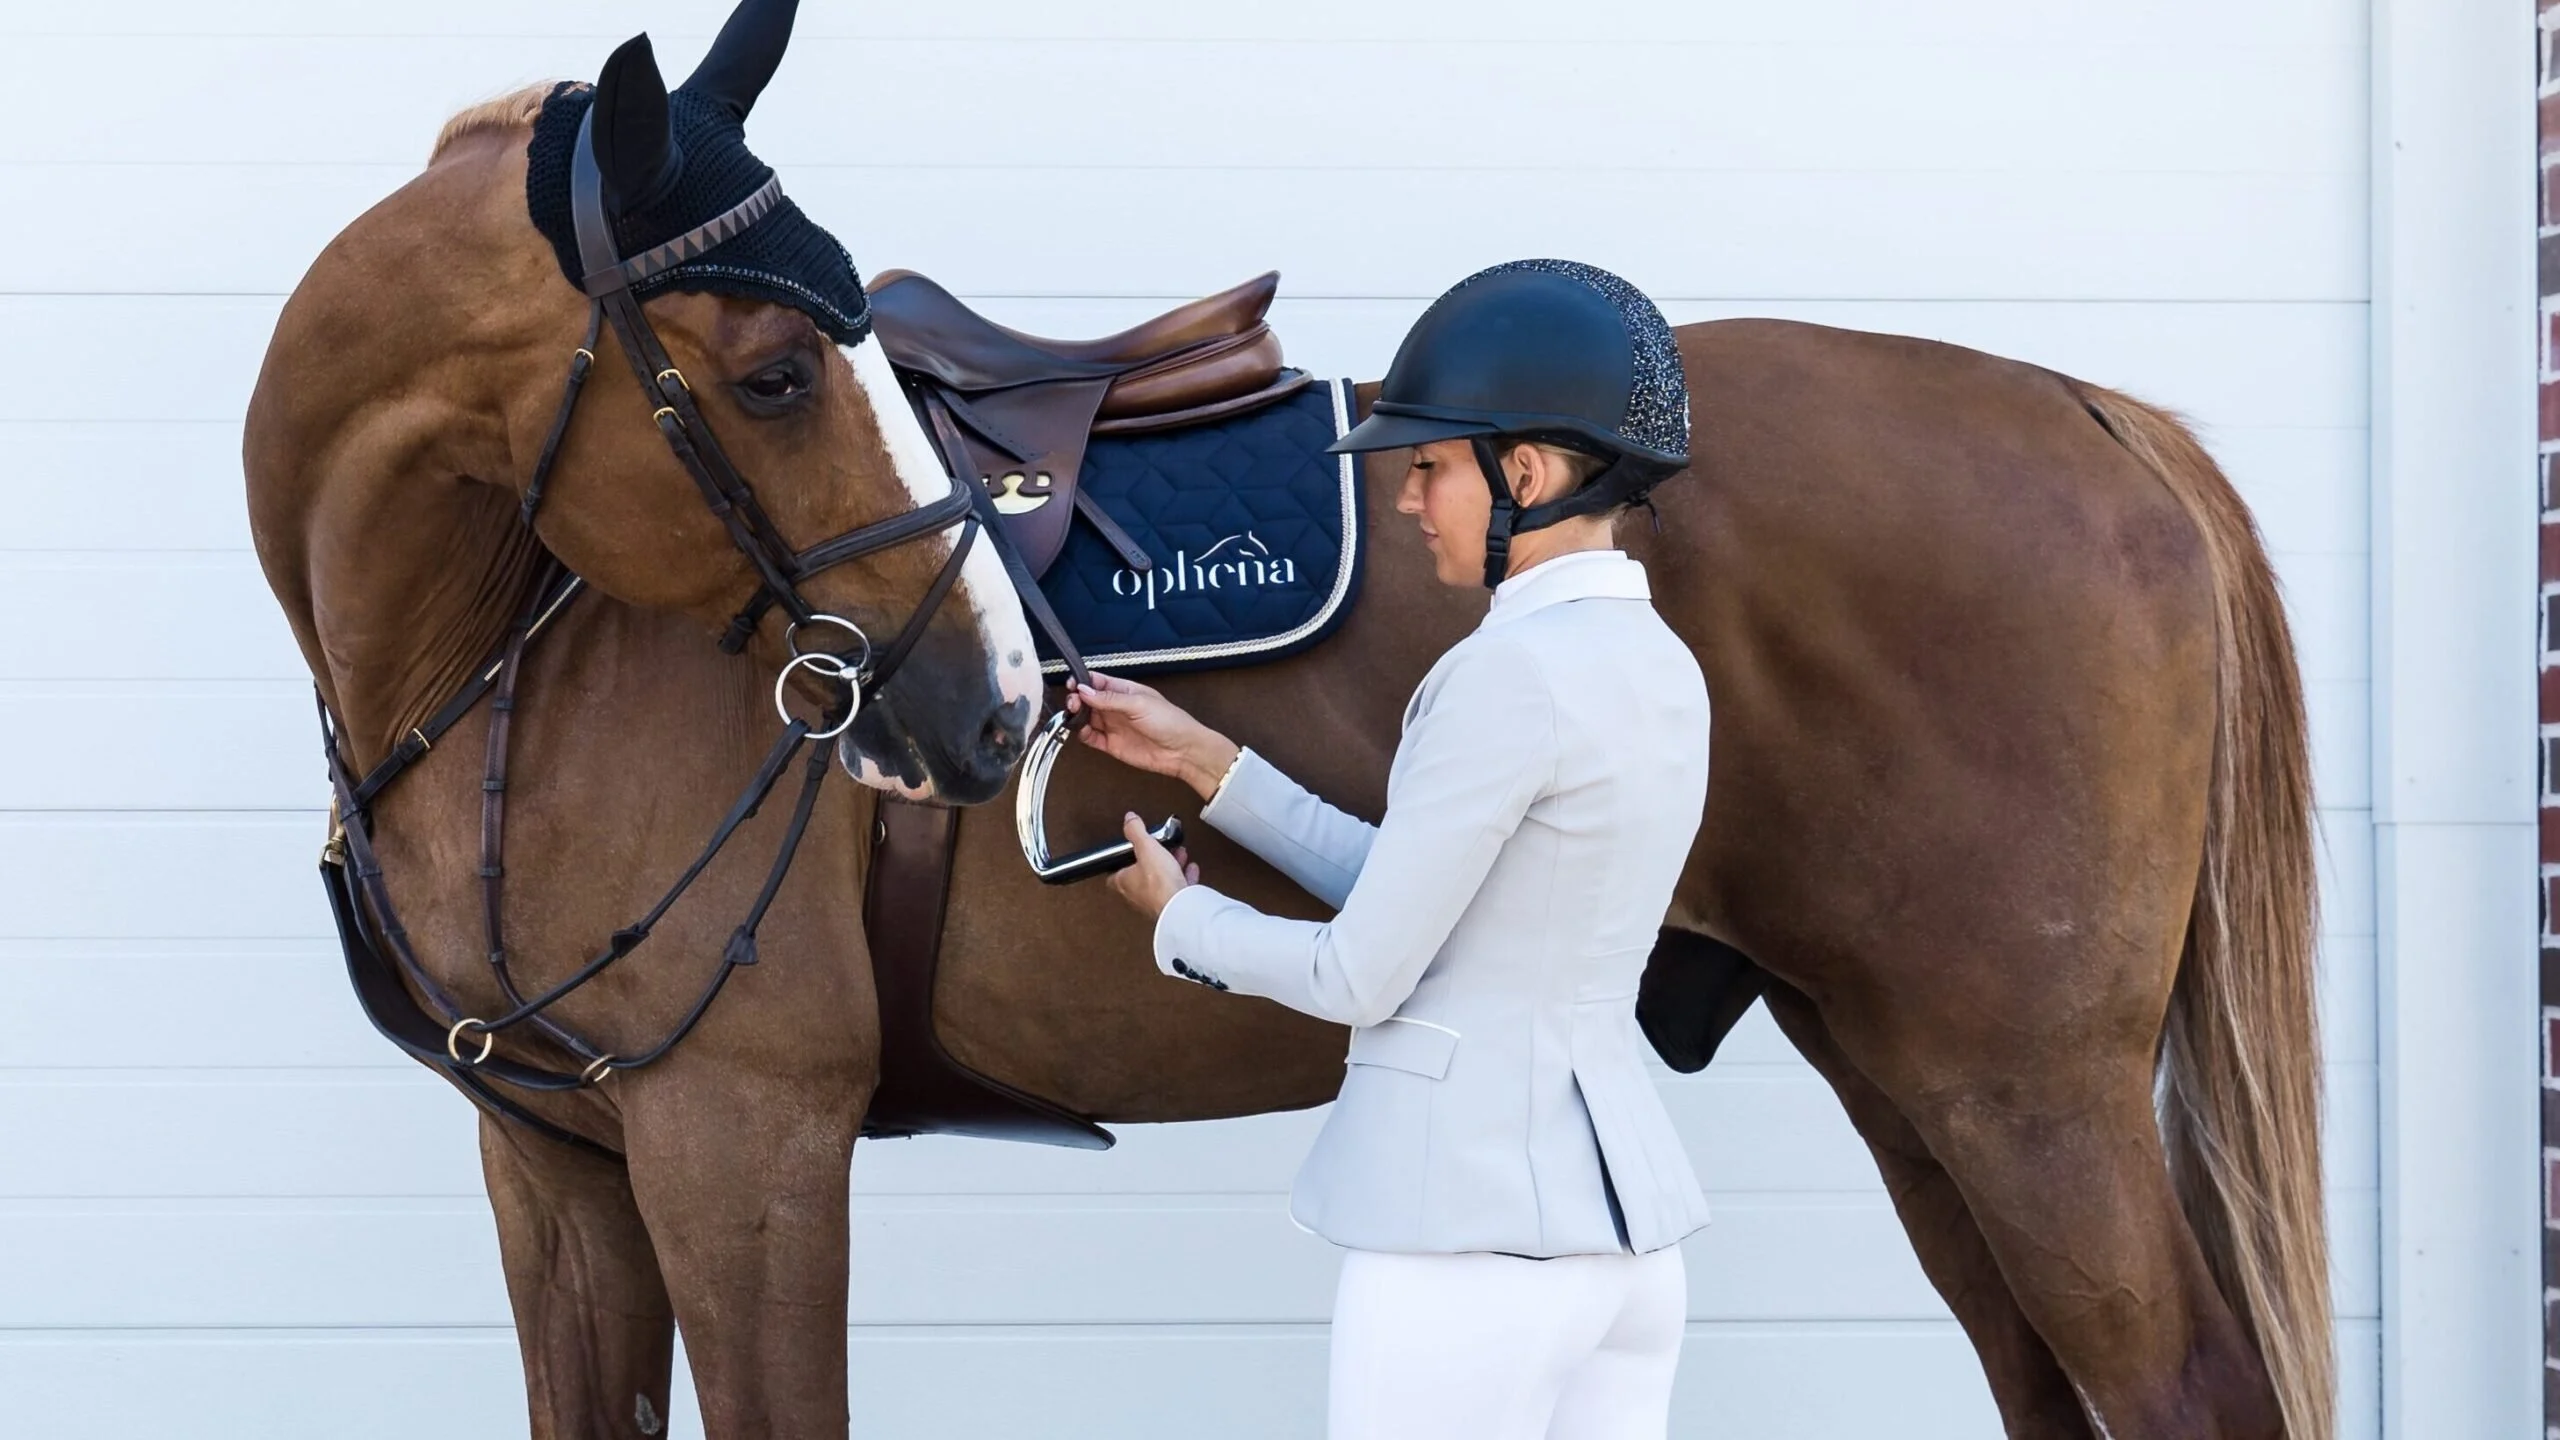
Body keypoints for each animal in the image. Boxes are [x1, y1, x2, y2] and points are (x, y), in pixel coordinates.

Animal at [250, 40, 2324, 1440]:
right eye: (766, 374)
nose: (988, 709)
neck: (508, 655)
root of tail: (2097, 413)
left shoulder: (741, 1138)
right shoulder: (563, 1173)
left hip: (2027, 1095)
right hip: (1912, 1079)